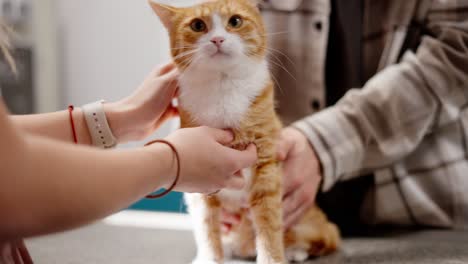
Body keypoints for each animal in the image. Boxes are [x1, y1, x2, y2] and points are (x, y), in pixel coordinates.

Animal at [150, 1, 340, 262]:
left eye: (235, 21)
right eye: (198, 25)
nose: (218, 39)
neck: (223, 87)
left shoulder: (266, 167)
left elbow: (269, 225)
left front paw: (273, 258)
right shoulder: (201, 187)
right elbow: (207, 227)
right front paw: (209, 258)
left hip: (309, 225)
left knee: (322, 236)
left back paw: (295, 251)